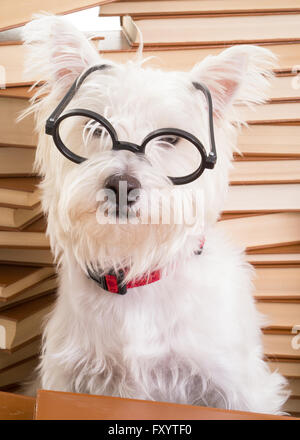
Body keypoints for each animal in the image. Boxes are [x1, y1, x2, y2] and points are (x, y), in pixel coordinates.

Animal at [21, 15, 288, 414]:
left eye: (171, 139)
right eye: (94, 127)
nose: (121, 185)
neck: (135, 274)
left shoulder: (236, 385)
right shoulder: (65, 380)